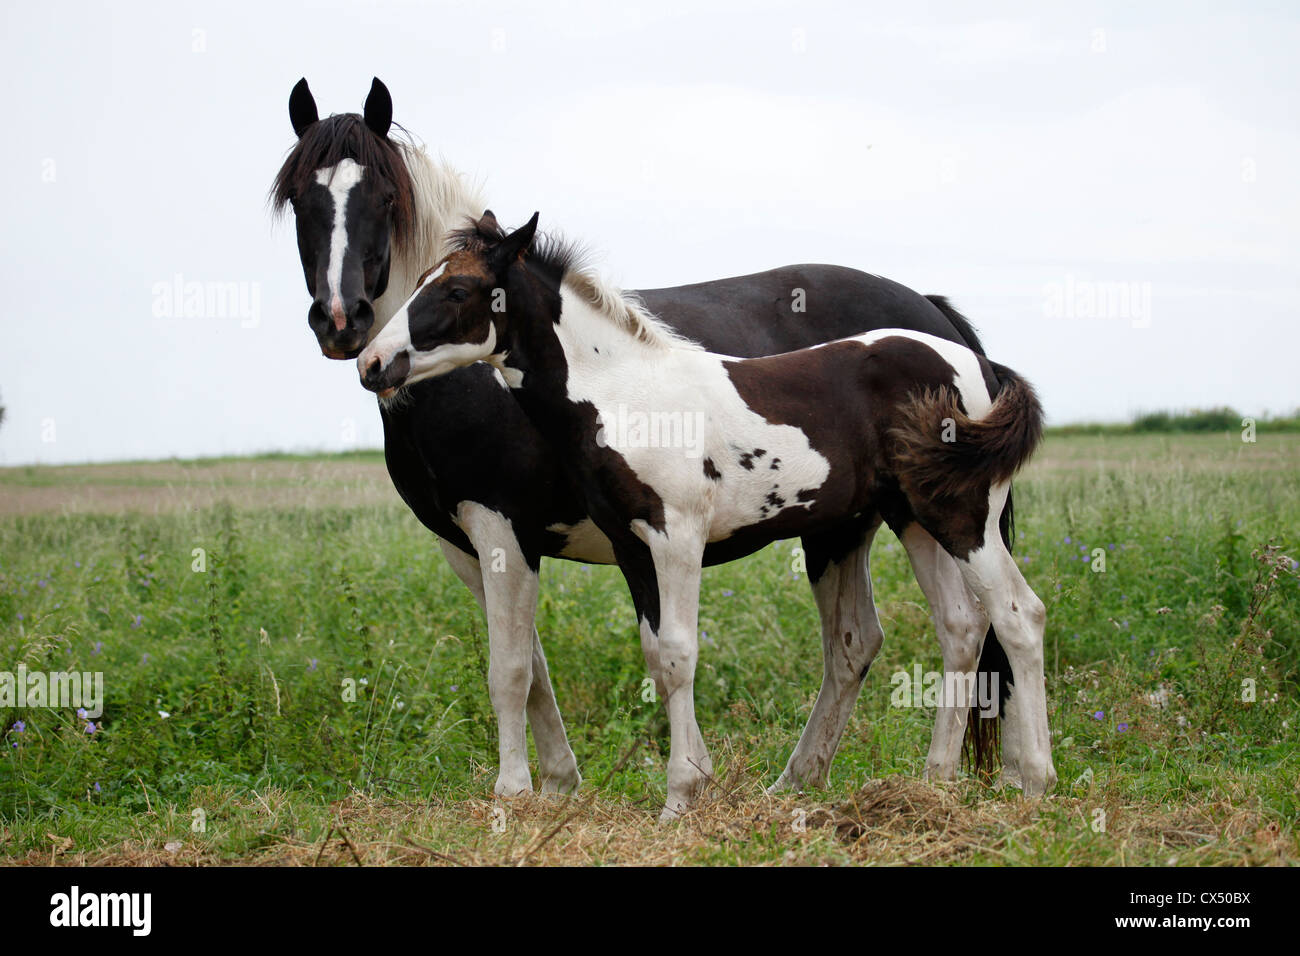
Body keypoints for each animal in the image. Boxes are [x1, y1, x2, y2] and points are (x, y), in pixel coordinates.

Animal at [356, 214, 1055, 822]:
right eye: (420, 278)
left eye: (458, 289)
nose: (371, 364)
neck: (625, 396)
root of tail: (979, 363)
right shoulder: (631, 547)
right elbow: (653, 656)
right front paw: (688, 788)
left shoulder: (676, 538)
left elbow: (677, 654)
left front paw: (680, 797)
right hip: (911, 518)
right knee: (960, 625)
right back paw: (934, 783)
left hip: (963, 516)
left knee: (1019, 613)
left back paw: (1036, 783)